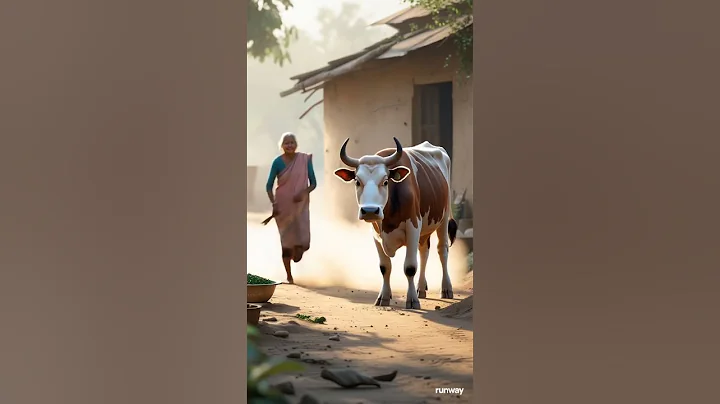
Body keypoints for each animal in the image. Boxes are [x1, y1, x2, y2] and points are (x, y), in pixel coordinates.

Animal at [333, 137, 458, 309]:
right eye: (357, 181)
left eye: (386, 181)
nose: (370, 210)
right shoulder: (376, 234)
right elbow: (385, 267)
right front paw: (383, 297)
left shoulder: (413, 227)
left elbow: (410, 267)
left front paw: (412, 300)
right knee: (424, 251)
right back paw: (421, 288)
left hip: (444, 218)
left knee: (442, 250)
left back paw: (446, 288)